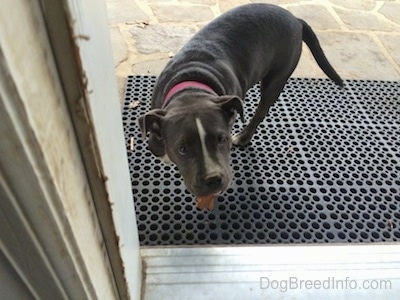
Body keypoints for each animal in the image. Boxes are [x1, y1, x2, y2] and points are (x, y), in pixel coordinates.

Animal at [138, 3, 344, 199]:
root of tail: (295, 19)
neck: (191, 86)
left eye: (222, 138)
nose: (213, 179)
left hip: (275, 80)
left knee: (261, 111)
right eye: (182, 149)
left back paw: (245, 137)